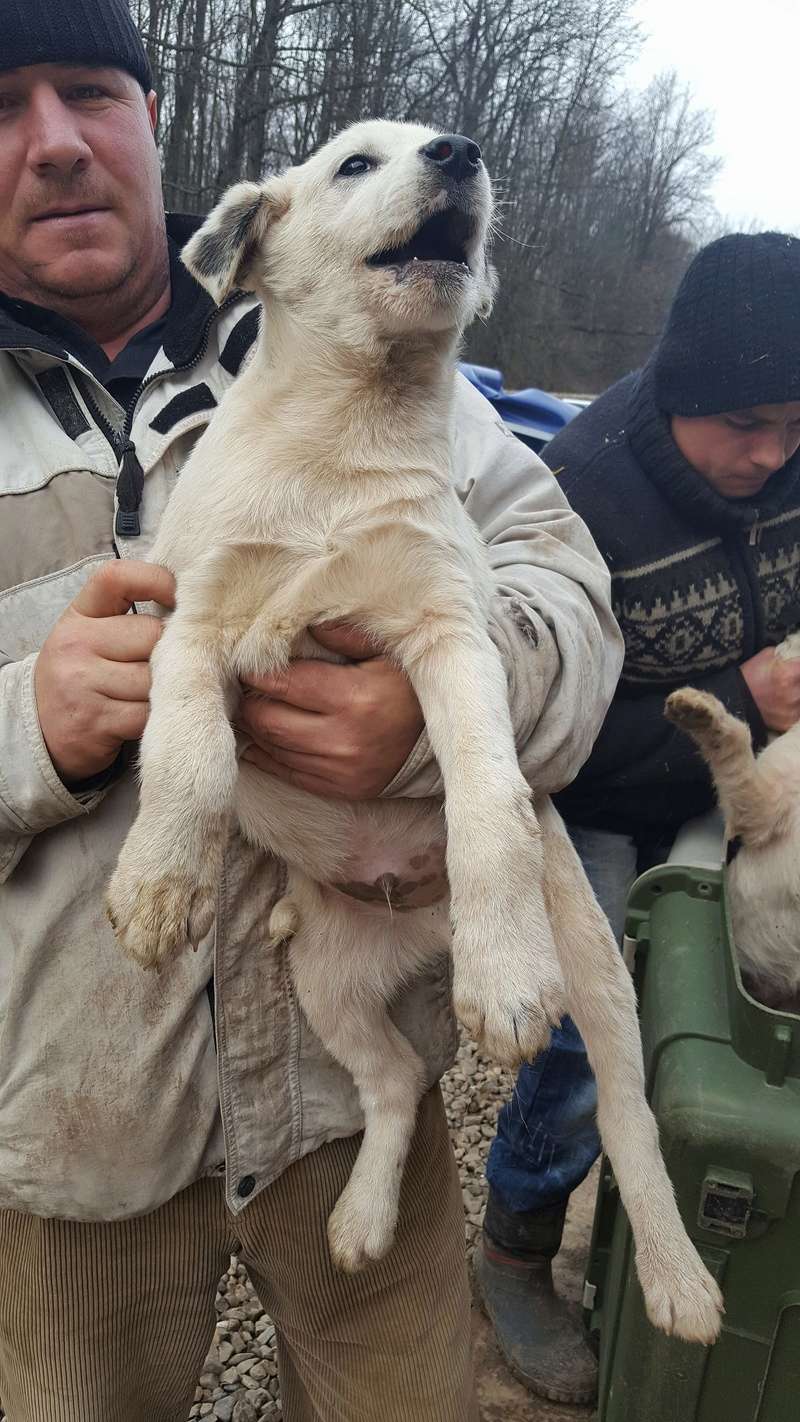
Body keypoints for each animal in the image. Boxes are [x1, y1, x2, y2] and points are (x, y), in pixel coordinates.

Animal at [107, 116, 727, 1336]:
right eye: (354, 163)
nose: (461, 150)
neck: (342, 443)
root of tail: (414, 932)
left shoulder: (451, 641)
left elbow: (484, 790)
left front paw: (502, 975)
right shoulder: (191, 625)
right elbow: (189, 756)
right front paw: (158, 885)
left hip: (597, 973)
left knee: (628, 1119)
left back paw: (679, 1282)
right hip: (328, 983)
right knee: (393, 1082)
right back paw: (360, 1222)